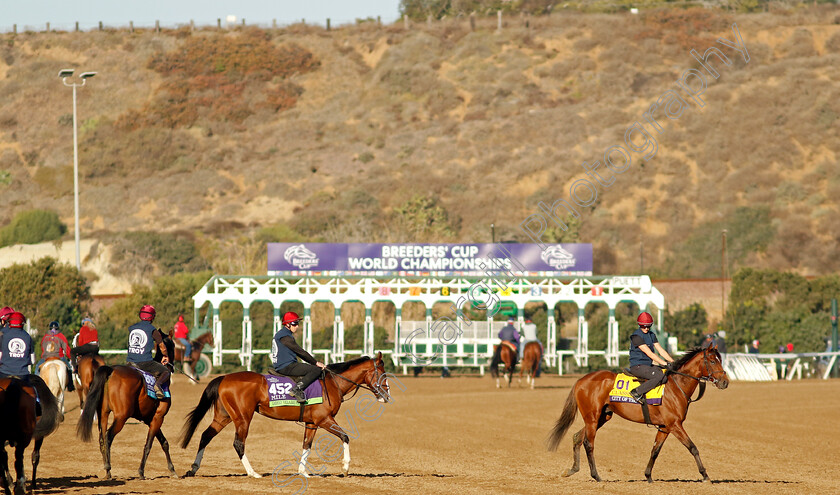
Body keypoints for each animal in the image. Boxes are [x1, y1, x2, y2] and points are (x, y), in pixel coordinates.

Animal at [77, 334, 179, 480]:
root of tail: (111, 370)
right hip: (121, 417)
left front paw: (172, 469)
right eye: (173, 345)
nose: (173, 366)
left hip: (103, 414)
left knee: (102, 438)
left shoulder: (150, 419)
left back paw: (107, 471)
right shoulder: (158, 417)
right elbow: (148, 445)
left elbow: (164, 442)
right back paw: (108, 467)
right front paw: (141, 472)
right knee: (108, 436)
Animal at [180, 352, 390, 480]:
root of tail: (225, 377)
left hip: (224, 417)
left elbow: (307, 445)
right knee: (238, 443)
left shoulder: (312, 423)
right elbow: (345, 437)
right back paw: (252, 472)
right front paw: (345, 467)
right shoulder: (325, 420)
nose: (387, 396)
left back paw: (194, 468)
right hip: (242, 418)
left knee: (206, 436)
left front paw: (303, 472)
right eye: (383, 374)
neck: (332, 382)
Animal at [548, 346, 724, 482]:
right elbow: (693, 447)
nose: (724, 382)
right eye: (713, 361)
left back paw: (572, 470)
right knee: (588, 443)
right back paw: (596, 476)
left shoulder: (664, 427)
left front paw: (648, 476)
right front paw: (705, 475)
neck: (676, 386)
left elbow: (655, 451)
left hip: (602, 417)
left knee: (577, 437)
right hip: (592, 418)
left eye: (720, 360)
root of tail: (581, 380)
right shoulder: (675, 425)